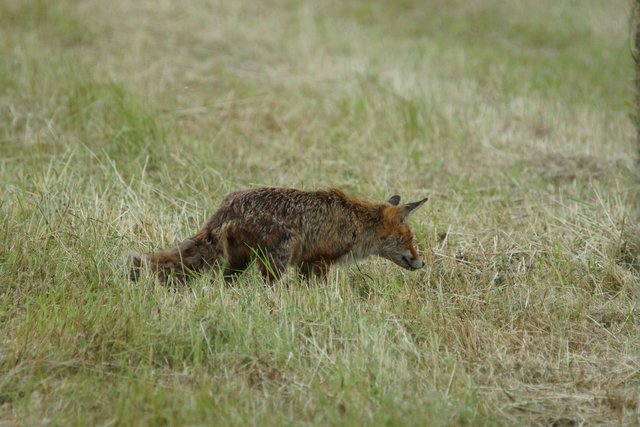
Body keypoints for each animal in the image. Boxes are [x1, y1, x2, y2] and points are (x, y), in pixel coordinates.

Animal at [128, 187, 428, 283]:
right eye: (409, 240)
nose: (422, 262)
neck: (356, 222)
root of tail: (228, 206)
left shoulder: (307, 264)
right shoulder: (320, 262)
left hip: (240, 263)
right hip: (276, 261)